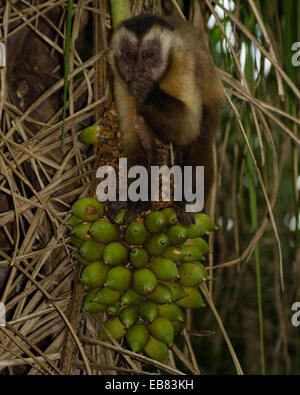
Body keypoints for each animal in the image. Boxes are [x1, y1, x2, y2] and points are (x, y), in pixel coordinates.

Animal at [108, 6, 223, 226]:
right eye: (130, 54)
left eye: (148, 55)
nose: (138, 69)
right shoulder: (120, 77)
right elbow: (134, 137)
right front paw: (136, 200)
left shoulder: (181, 62)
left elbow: (188, 127)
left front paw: (147, 92)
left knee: (201, 136)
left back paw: (189, 202)